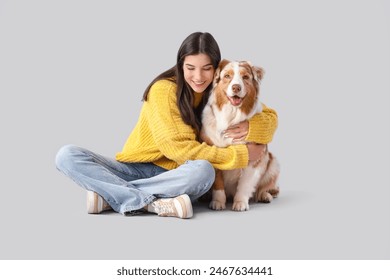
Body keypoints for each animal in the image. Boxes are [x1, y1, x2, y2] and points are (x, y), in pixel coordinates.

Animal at [201, 60, 280, 211]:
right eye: (227, 76)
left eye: (245, 77)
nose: (236, 87)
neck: (232, 117)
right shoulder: (215, 153)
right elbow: (218, 184)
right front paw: (218, 202)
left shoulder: (255, 160)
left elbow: (245, 184)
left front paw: (240, 203)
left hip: (272, 161)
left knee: (265, 187)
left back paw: (264, 195)